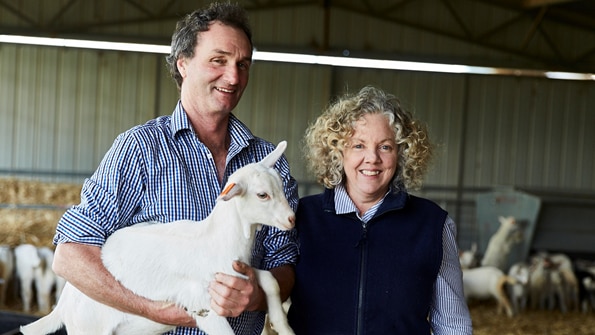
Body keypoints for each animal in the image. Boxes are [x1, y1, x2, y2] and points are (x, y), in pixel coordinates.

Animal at [22, 141, 296, 335]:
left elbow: (270, 279)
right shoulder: (204, 307)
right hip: (89, 328)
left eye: (281, 186)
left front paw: (283, 326)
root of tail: (63, 305)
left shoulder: (241, 271)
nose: (292, 219)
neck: (216, 241)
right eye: (262, 195)